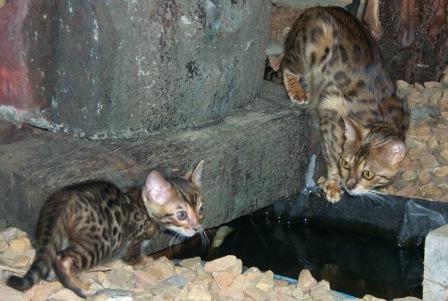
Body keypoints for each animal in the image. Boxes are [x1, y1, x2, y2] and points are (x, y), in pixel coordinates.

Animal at [6, 161, 206, 296]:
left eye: (201, 210)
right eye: (181, 215)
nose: (197, 227)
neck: (143, 207)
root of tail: (62, 200)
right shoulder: (132, 240)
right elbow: (133, 257)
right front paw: (146, 261)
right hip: (103, 241)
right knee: (63, 259)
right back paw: (83, 288)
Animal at [274, 5, 408, 202]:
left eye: (368, 174)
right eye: (345, 164)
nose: (350, 185)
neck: (380, 119)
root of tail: (318, 8)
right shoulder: (330, 112)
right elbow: (332, 154)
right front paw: (333, 184)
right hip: (312, 44)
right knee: (286, 66)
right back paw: (297, 90)